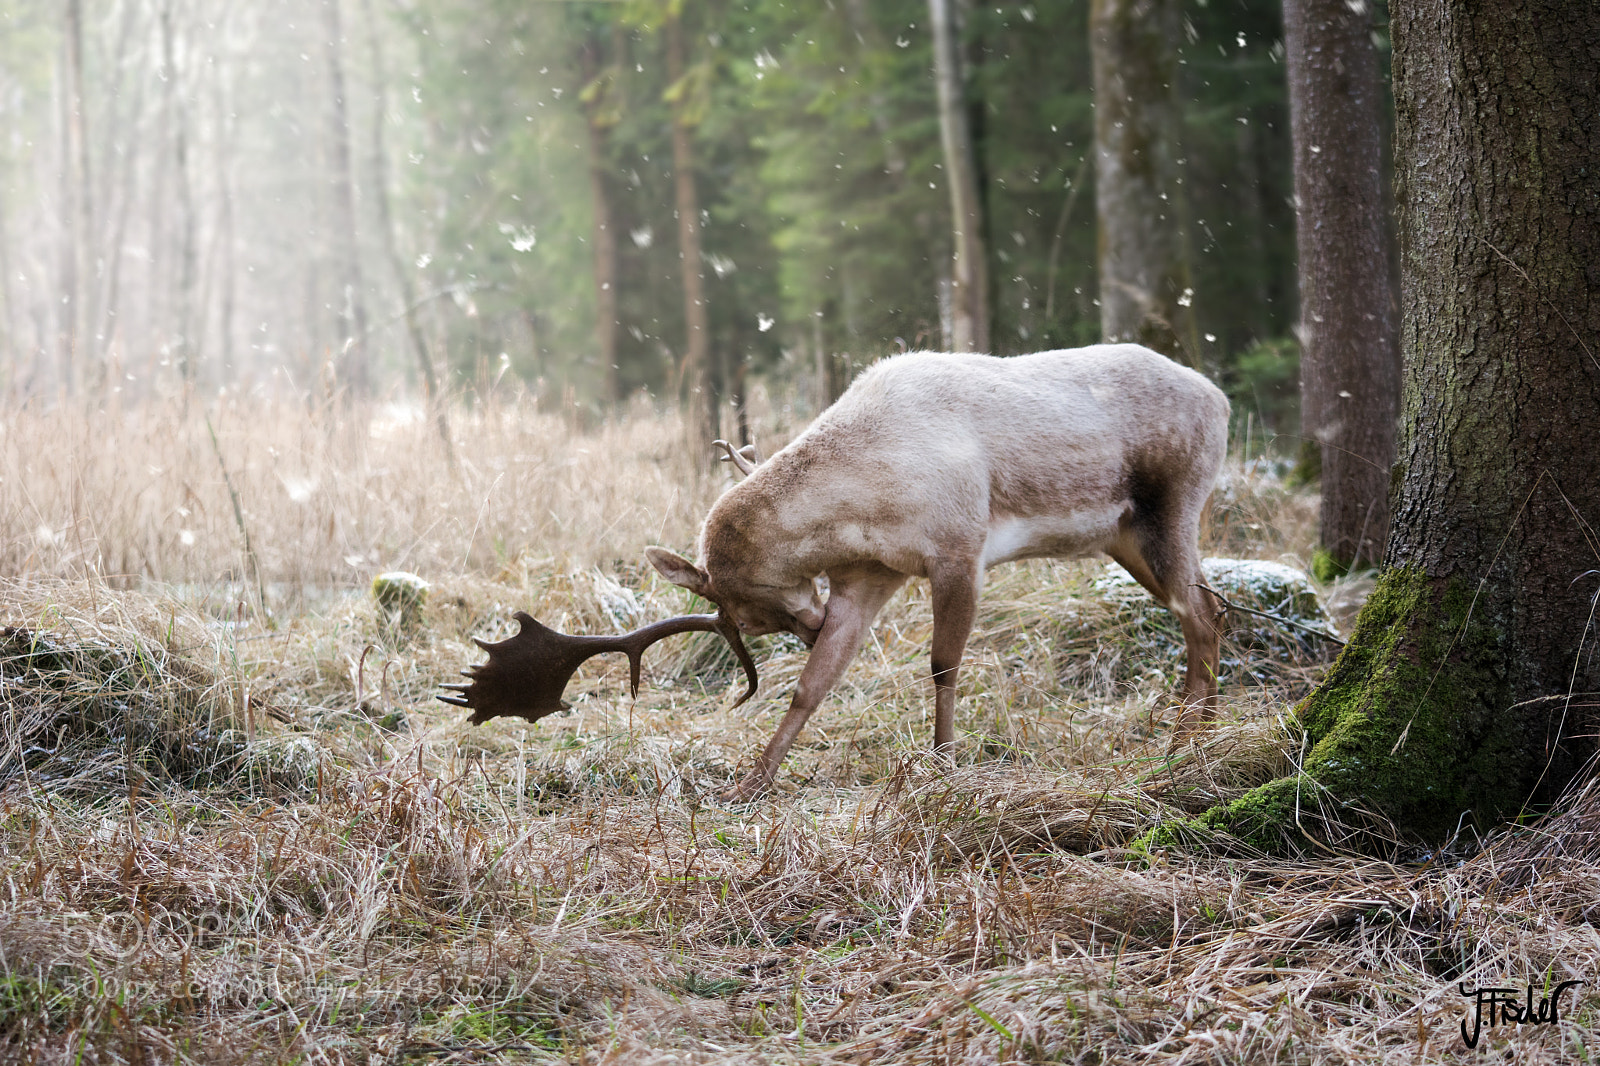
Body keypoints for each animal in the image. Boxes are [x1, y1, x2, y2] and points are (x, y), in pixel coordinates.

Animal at [440, 344, 1231, 800]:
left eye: (747, 612)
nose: (807, 622)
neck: (865, 500)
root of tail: (1220, 397)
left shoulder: (960, 545)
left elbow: (943, 663)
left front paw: (943, 762)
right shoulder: (868, 575)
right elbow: (814, 686)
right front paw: (752, 780)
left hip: (1174, 501)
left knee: (1198, 611)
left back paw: (1184, 741)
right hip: (1122, 538)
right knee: (1214, 607)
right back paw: (1199, 732)